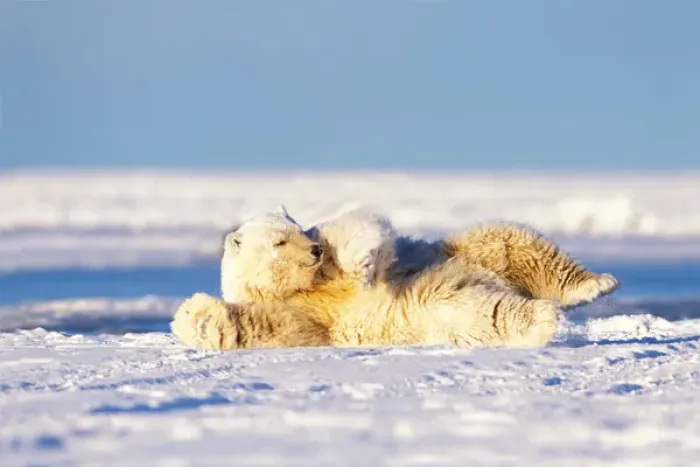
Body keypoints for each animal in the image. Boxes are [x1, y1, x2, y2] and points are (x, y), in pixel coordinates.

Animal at [170, 206, 618, 351]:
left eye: (297, 229)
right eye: (280, 241)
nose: (314, 251)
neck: (304, 288)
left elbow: (354, 233)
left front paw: (364, 266)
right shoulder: (302, 316)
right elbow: (265, 328)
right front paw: (195, 314)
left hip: (470, 252)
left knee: (512, 241)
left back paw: (594, 283)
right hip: (437, 310)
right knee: (485, 312)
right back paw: (543, 316)